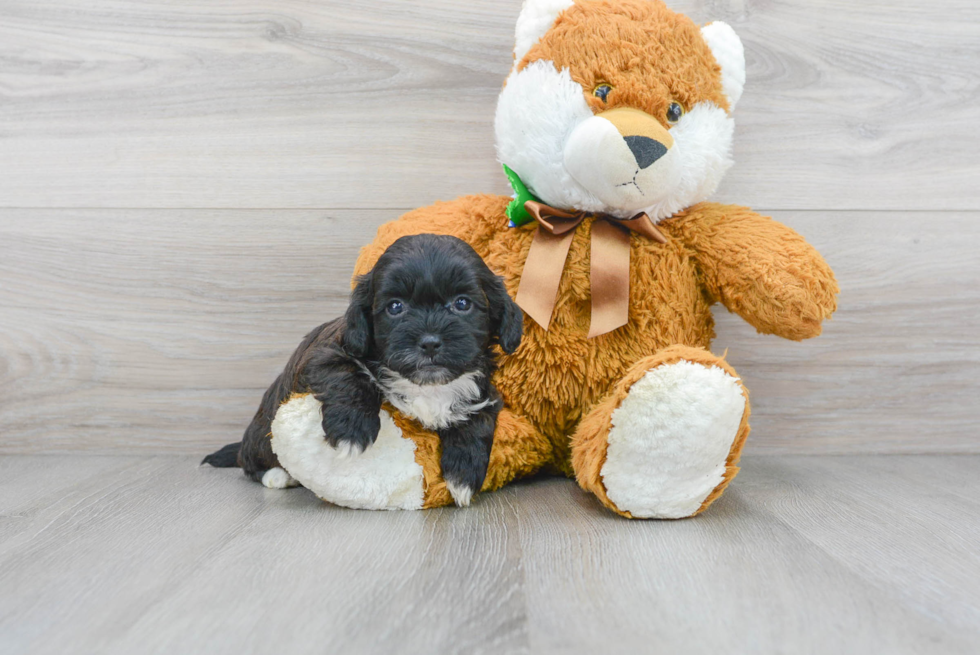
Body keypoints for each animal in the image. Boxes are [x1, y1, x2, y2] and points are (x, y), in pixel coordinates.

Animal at [203, 236, 524, 508]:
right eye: (395, 307)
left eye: (462, 303)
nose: (430, 342)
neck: (426, 386)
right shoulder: (322, 355)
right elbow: (349, 376)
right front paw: (352, 433)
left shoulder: (484, 392)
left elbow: (477, 421)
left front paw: (463, 476)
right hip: (262, 433)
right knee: (250, 460)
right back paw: (277, 475)